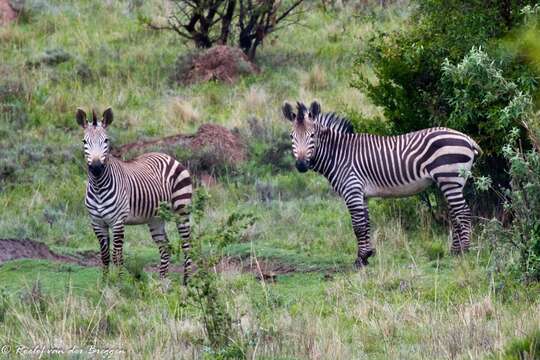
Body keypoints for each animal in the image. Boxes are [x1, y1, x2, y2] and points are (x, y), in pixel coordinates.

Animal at [76, 108, 193, 282]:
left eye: (106, 141)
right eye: (84, 142)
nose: (96, 168)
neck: (98, 187)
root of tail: (167, 156)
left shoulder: (118, 221)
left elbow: (117, 256)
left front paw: (119, 283)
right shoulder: (97, 223)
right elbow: (104, 256)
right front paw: (104, 284)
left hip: (182, 209)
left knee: (187, 244)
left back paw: (187, 281)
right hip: (155, 218)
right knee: (165, 246)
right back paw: (162, 282)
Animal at [282, 100, 480, 268]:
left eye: (312, 135)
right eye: (292, 136)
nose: (301, 165)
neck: (338, 154)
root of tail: (467, 139)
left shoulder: (352, 190)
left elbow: (358, 226)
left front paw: (360, 261)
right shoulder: (361, 194)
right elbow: (366, 224)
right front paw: (367, 255)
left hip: (449, 179)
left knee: (463, 212)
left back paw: (464, 252)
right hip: (452, 182)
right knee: (455, 214)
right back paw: (454, 251)